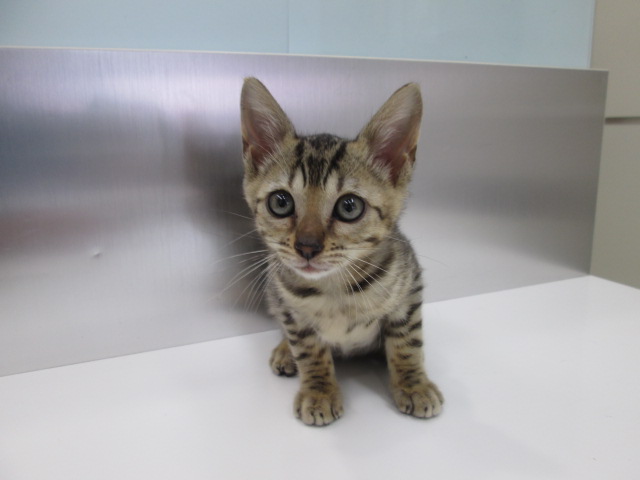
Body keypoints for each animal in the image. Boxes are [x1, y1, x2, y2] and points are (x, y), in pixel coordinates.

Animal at [240, 77, 443, 426]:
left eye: (349, 207)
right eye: (280, 202)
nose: (307, 246)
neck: (334, 290)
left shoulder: (409, 290)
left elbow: (407, 342)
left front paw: (413, 384)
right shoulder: (291, 311)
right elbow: (309, 350)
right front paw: (319, 391)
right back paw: (285, 352)